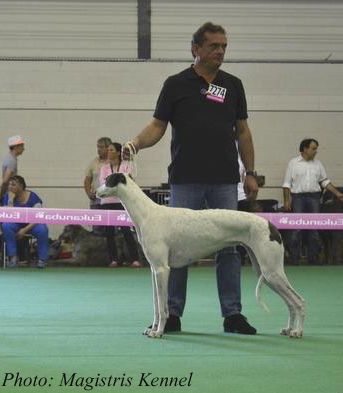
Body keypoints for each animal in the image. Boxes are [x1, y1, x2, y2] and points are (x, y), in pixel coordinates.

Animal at [97, 173, 306, 338]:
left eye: (107, 180)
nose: (96, 193)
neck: (147, 213)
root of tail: (271, 226)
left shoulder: (163, 270)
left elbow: (163, 308)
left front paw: (159, 332)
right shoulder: (154, 270)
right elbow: (156, 305)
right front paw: (153, 329)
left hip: (271, 271)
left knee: (298, 301)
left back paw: (297, 331)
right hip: (264, 271)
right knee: (290, 303)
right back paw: (289, 329)